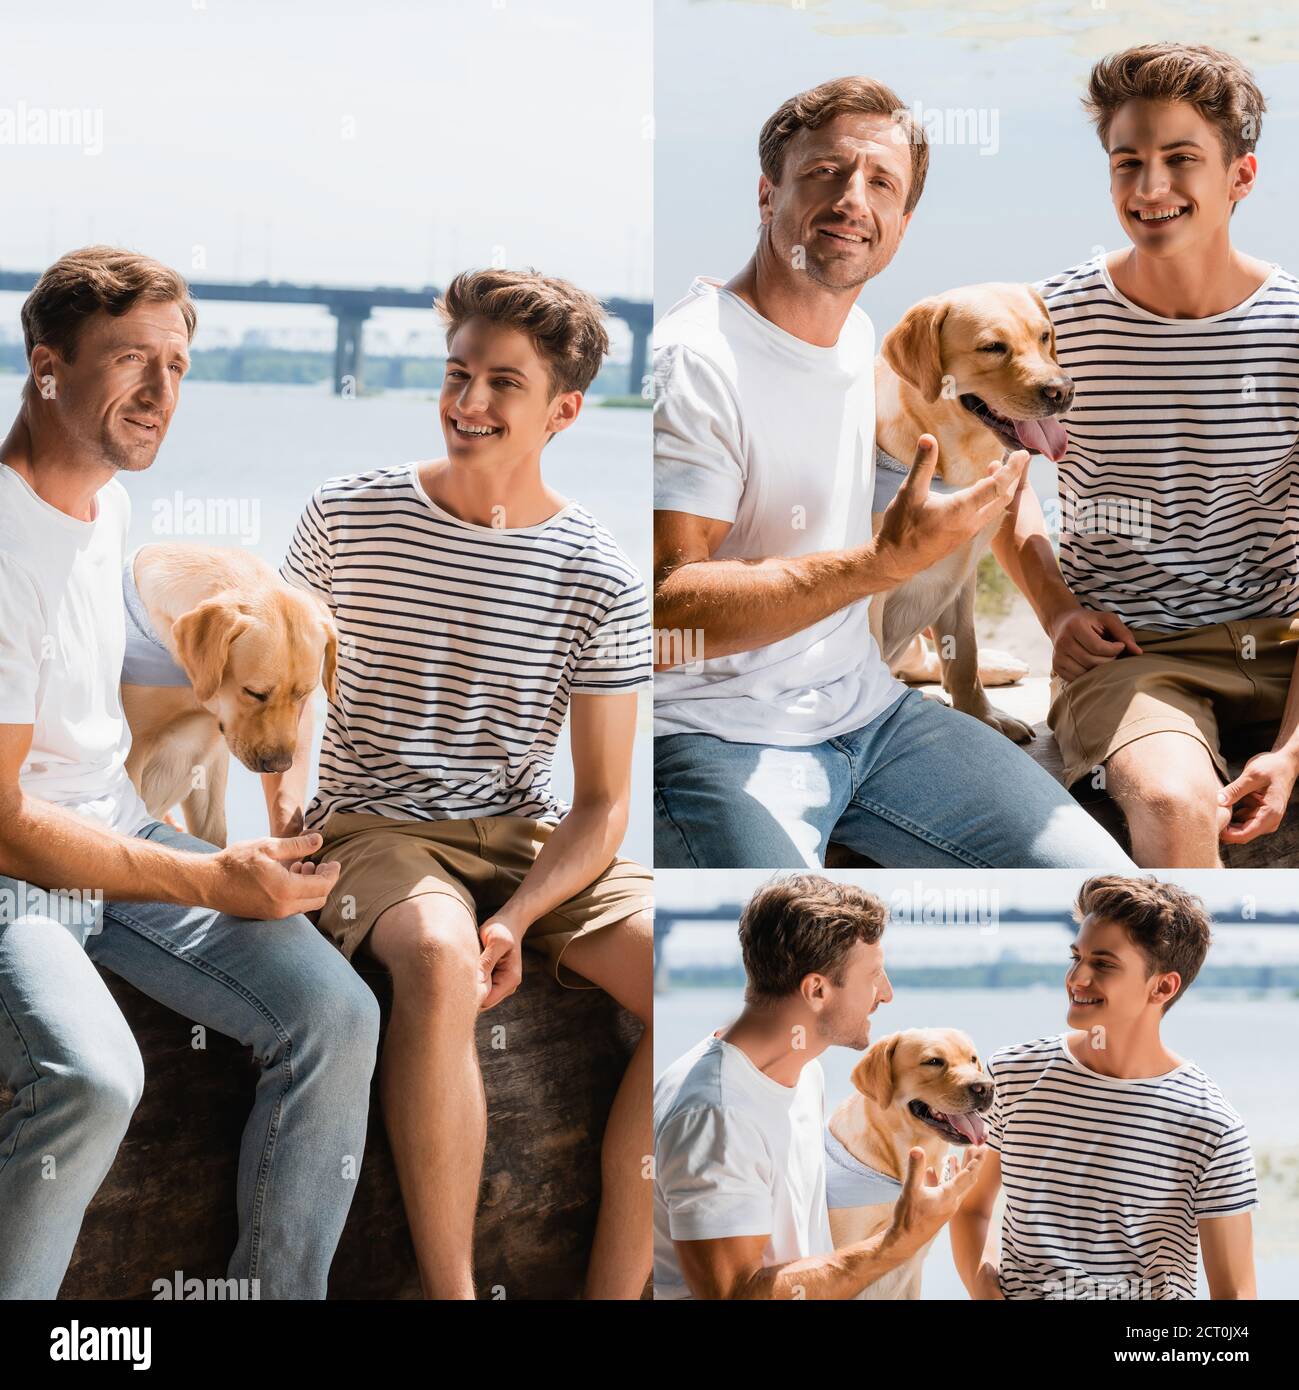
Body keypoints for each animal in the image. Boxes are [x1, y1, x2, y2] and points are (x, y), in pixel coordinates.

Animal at [119, 542, 337, 845]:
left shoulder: (210, 763)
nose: (280, 764)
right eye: (254, 692)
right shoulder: (132, 756)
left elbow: (214, 833)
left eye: (303, 694)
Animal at [872, 279, 1078, 739]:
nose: (1062, 391)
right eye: (992, 347)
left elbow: (963, 655)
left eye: (1044, 336)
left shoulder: (961, 575)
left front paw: (983, 716)